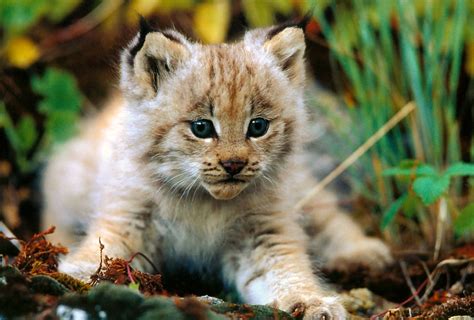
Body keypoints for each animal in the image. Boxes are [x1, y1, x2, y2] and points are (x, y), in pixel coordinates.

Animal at [42, 21, 392, 318]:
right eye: (201, 128)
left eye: (258, 126)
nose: (234, 164)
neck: (203, 200)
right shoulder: (127, 216)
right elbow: (107, 246)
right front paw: (81, 272)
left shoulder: (264, 229)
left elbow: (287, 269)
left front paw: (312, 301)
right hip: (71, 182)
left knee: (328, 215)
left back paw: (361, 252)